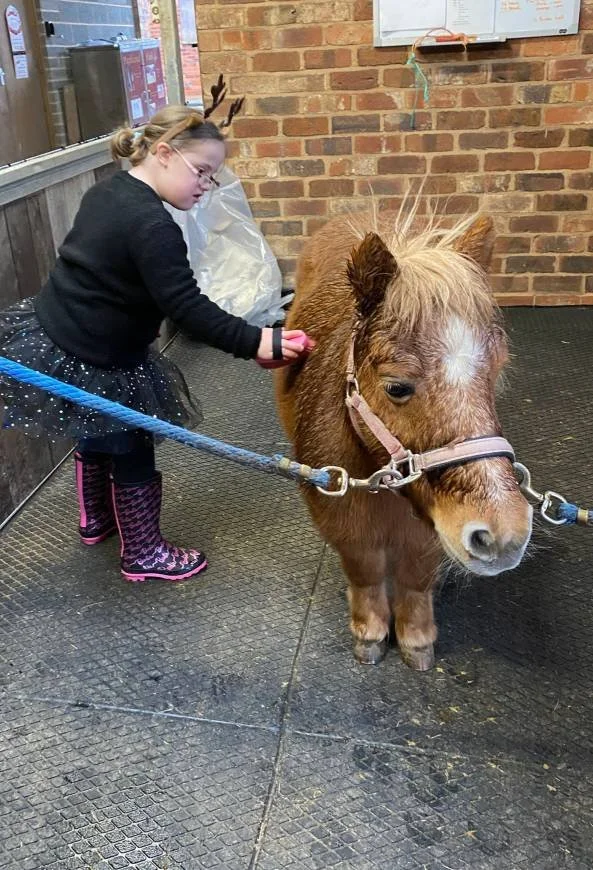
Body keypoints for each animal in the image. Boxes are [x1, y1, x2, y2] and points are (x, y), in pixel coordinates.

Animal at [275, 204, 533, 671]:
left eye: (496, 372)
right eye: (397, 387)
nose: (503, 534)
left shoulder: (430, 530)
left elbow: (415, 579)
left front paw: (415, 639)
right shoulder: (346, 526)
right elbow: (366, 573)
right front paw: (370, 632)